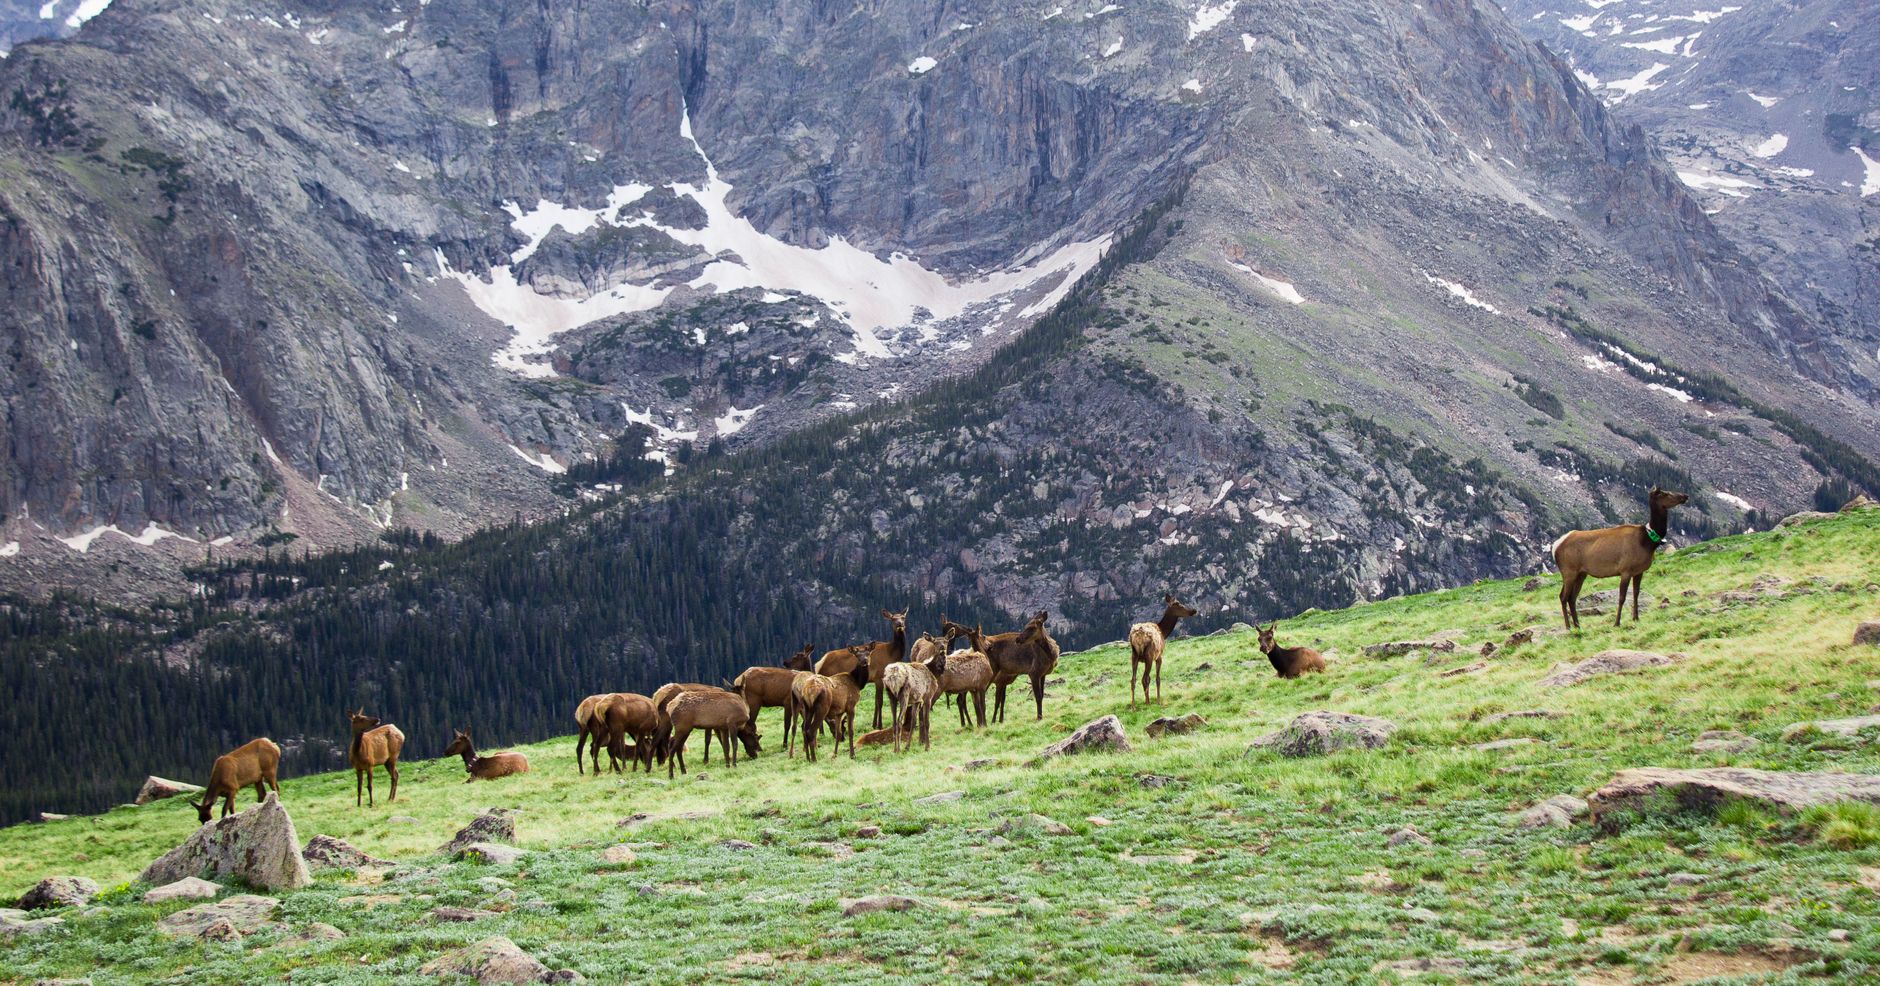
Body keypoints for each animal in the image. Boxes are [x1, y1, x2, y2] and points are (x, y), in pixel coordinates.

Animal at [1552, 486, 1690, 629]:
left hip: (1581, 573)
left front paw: (1636, 618)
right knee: (1563, 597)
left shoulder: (1639, 571)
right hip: (1569, 571)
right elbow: (1622, 597)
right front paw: (1617, 623)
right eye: (1664, 493)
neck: (1648, 542)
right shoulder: (1625, 570)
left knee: (1572, 598)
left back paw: (1578, 625)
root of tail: (1555, 546)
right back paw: (1568, 627)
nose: (1685, 496)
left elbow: (1636, 594)